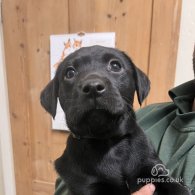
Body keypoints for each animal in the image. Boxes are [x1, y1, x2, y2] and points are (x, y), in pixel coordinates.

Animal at [40, 46, 191, 195]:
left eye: (115, 66)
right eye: (70, 73)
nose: (93, 87)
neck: (109, 143)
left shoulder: (151, 167)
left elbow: (176, 188)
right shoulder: (87, 185)